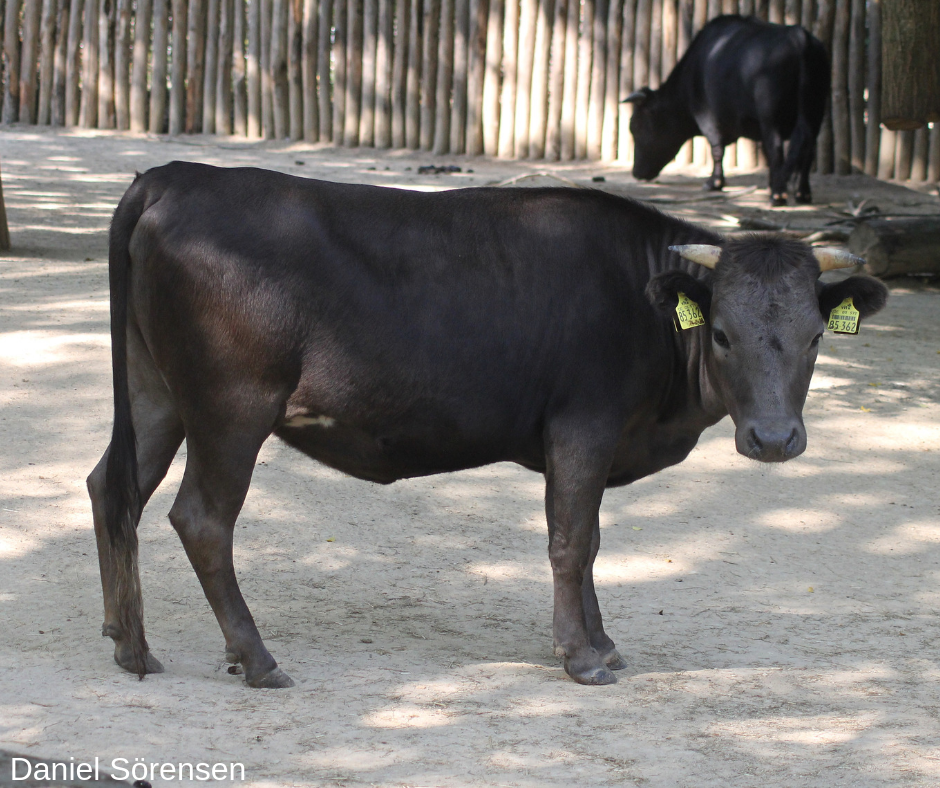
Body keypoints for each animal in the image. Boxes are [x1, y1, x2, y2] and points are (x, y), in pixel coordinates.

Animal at [87, 162, 887, 689]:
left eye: (816, 335)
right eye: (721, 333)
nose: (775, 440)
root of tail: (176, 174)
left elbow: (590, 541)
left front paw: (602, 642)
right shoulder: (583, 424)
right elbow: (572, 540)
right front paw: (581, 657)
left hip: (156, 392)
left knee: (111, 488)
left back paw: (130, 645)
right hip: (232, 405)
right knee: (201, 519)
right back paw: (255, 658)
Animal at [624, 15, 830, 207]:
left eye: (636, 128)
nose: (636, 172)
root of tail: (799, 36)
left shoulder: (708, 119)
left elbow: (717, 150)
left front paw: (714, 183)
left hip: (771, 118)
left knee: (778, 148)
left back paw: (778, 195)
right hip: (815, 115)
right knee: (807, 149)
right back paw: (802, 193)